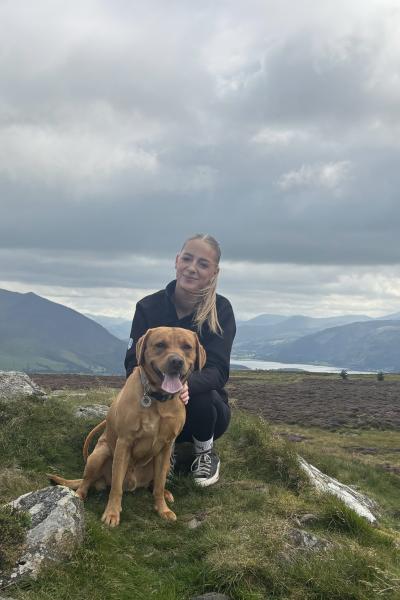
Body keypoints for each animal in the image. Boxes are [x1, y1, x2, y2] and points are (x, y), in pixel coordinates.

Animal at [48, 326, 206, 526]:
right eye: (160, 344)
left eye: (187, 347)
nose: (176, 362)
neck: (156, 398)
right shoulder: (124, 443)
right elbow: (116, 487)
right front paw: (112, 513)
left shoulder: (166, 447)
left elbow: (160, 483)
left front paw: (162, 509)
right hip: (98, 455)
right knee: (87, 481)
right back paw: (79, 495)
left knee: (155, 483)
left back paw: (165, 493)